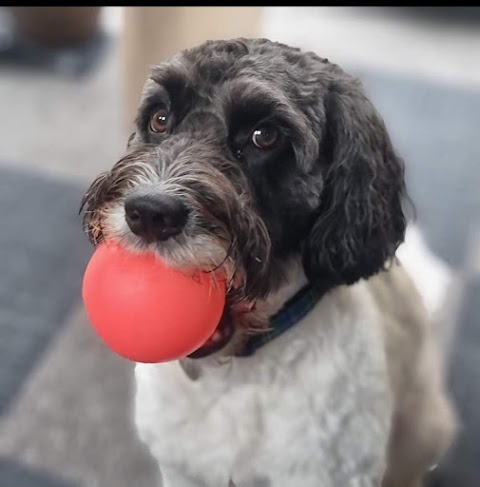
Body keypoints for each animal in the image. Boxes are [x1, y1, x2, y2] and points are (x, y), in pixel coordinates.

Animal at [82, 39, 458, 487]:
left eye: (264, 136)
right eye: (159, 118)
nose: (150, 213)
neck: (235, 374)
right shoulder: (181, 468)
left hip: (423, 430)